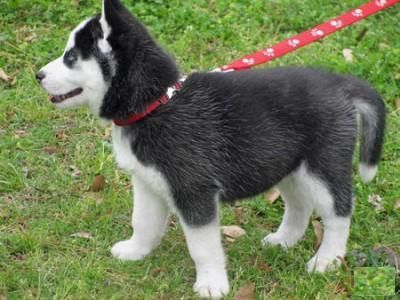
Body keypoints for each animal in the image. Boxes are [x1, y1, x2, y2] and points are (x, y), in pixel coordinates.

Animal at [36, 0, 384, 298]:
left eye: (71, 56)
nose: (37, 75)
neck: (156, 103)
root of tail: (339, 83)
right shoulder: (147, 183)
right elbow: (143, 222)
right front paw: (136, 251)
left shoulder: (194, 191)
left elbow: (202, 247)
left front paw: (212, 284)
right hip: (287, 165)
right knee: (300, 206)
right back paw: (283, 240)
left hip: (322, 168)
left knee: (339, 213)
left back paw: (327, 261)